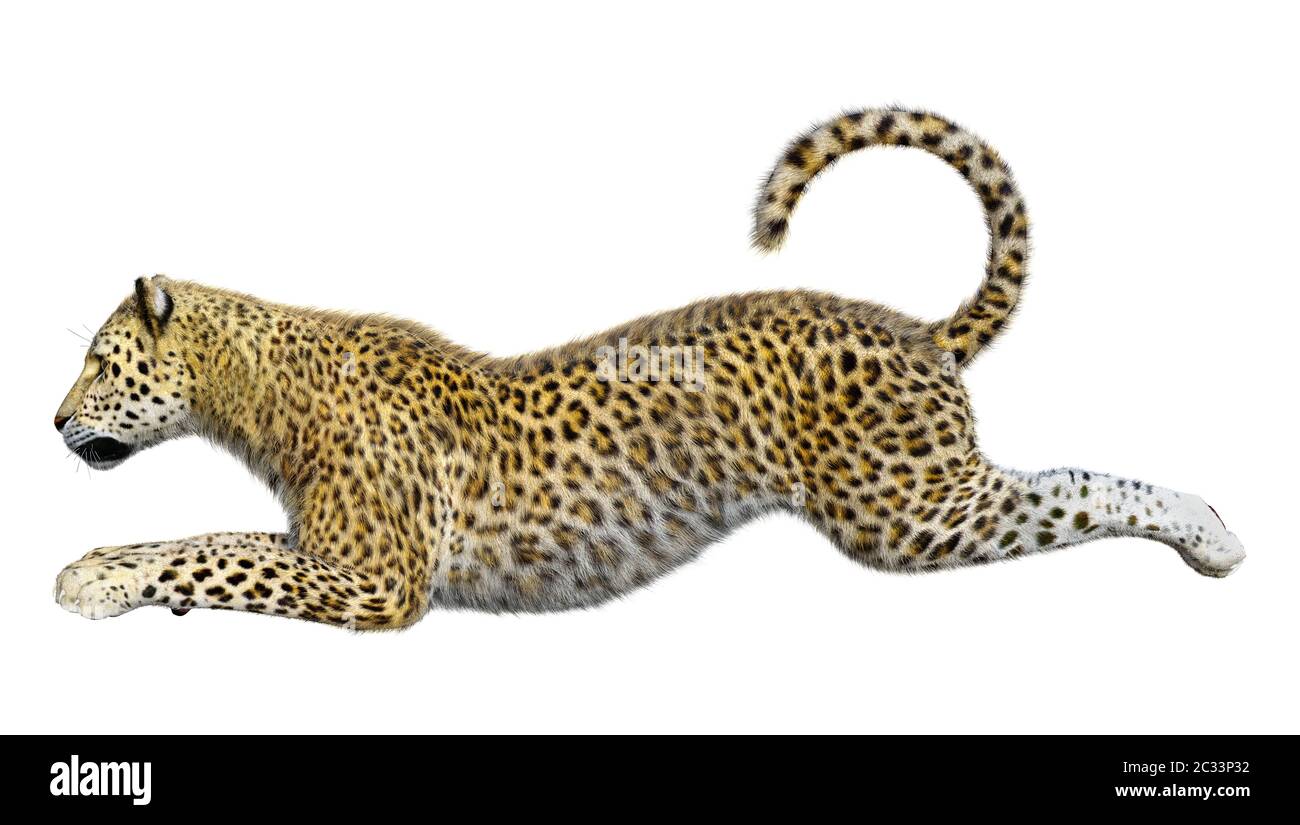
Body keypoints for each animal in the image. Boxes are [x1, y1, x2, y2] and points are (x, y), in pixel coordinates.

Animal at [52, 107, 1245, 630]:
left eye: (100, 364)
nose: (55, 424)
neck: (251, 393)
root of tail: (913, 329)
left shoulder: (378, 578)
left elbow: (216, 551)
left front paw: (96, 580)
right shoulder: (338, 555)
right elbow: (202, 538)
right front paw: (100, 565)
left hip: (905, 509)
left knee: (1075, 486)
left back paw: (1214, 534)